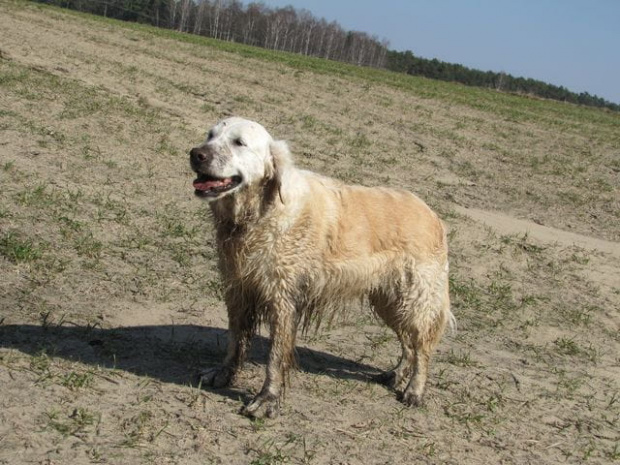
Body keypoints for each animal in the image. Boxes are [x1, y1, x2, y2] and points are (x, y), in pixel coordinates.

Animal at [188, 116, 450, 416]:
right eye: (210, 135)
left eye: (239, 142)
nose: (196, 154)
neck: (259, 214)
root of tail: (434, 215)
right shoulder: (238, 290)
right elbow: (235, 341)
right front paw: (223, 374)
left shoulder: (283, 299)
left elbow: (275, 357)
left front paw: (267, 399)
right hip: (389, 301)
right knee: (409, 345)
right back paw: (394, 374)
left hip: (413, 298)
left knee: (423, 347)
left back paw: (415, 390)